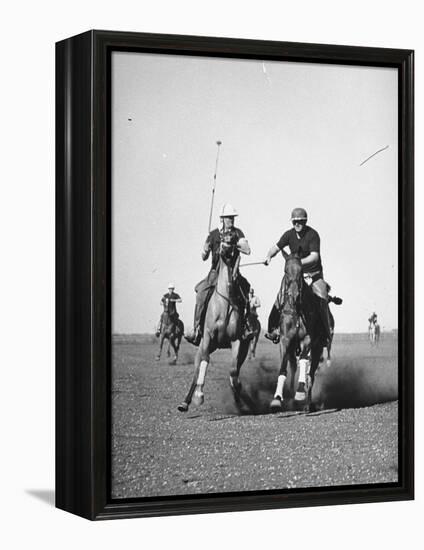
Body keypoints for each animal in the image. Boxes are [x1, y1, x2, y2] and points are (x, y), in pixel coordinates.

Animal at [177, 239, 250, 412]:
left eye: (233, 239)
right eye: (222, 238)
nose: (225, 248)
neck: (224, 303)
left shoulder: (237, 340)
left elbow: (233, 371)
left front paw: (239, 395)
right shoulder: (208, 336)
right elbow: (205, 361)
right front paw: (199, 396)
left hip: (242, 350)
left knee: (236, 370)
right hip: (204, 345)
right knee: (197, 371)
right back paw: (185, 402)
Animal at [270, 254, 332, 414]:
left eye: (301, 270)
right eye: (285, 270)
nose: (294, 295)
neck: (297, 309)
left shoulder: (308, 339)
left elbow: (304, 361)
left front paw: (299, 393)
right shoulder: (285, 339)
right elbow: (283, 368)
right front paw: (277, 399)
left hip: (317, 349)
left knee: (311, 375)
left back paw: (307, 404)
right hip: (293, 348)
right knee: (293, 368)